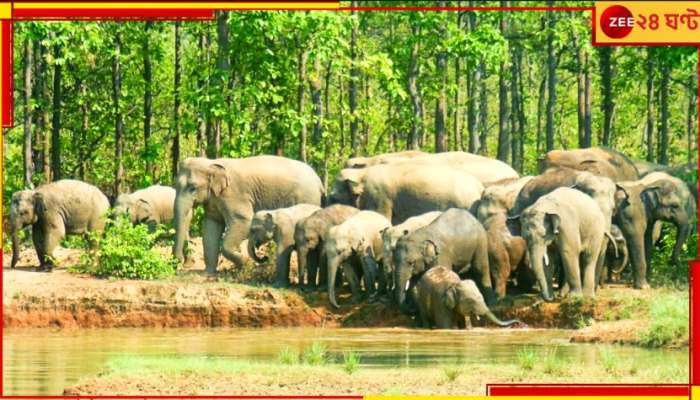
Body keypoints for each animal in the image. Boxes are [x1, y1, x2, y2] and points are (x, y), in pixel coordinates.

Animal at [172, 156, 326, 276]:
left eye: (193, 188)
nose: (181, 262)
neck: (211, 162)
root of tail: (320, 182)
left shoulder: (233, 194)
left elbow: (243, 221)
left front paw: (244, 265)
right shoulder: (214, 200)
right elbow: (211, 227)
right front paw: (208, 274)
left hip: (307, 197)